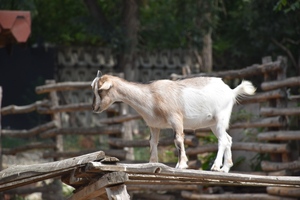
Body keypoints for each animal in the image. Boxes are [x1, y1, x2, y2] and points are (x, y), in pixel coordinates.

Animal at [91, 71, 255, 173]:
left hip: (220, 118)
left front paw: (181, 165)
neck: (151, 96)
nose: (94, 108)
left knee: (222, 140)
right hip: (214, 124)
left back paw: (215, 167)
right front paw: (152, 163)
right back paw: (225, 168)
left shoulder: (176, 119)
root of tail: (231, 91)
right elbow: (152, 143)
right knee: (228, 139)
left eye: (100, 90)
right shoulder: (154, 125)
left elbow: (178, 140)